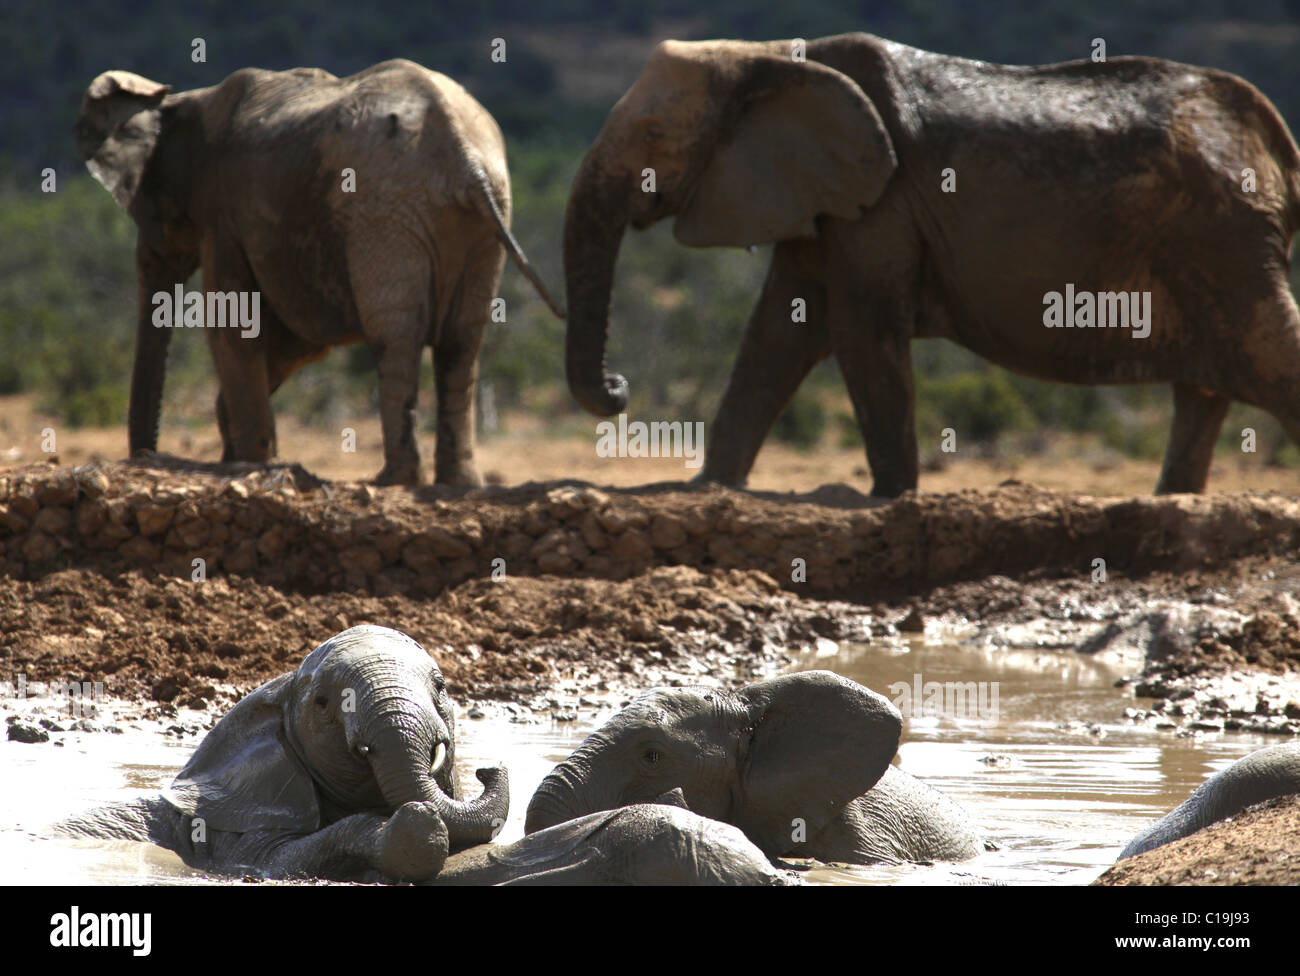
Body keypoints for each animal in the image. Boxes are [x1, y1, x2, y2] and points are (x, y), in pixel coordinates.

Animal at [59, 626, 506, 883]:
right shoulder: (233, 831)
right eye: (323, 703)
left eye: (441, 686)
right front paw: (416, 826)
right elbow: (278, 858)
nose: (488, 769)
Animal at [76, 59, 564, 486]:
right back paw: (459, 483)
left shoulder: (222, 211)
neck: (186, 99)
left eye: (147, 207)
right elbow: (297, 340)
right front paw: (242, 451)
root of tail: (463, 151)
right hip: (482, 214)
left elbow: (232, 324)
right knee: (462, 341)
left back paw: (393, 479)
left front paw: (249, 460)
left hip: (386, 208)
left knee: (396, 335)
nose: (144, 456)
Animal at [564, 32, 1300, 496]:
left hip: (1222, 235)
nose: (620, 387)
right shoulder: (825, 196)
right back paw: (1173, 502)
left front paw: (889, 498)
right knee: (1206, 390)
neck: (767, 55)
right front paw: (711, 487)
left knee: (1267, 352)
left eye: (654, 135)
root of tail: (1273, 139)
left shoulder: (881, 202)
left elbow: (858, 329)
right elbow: (778, 332)